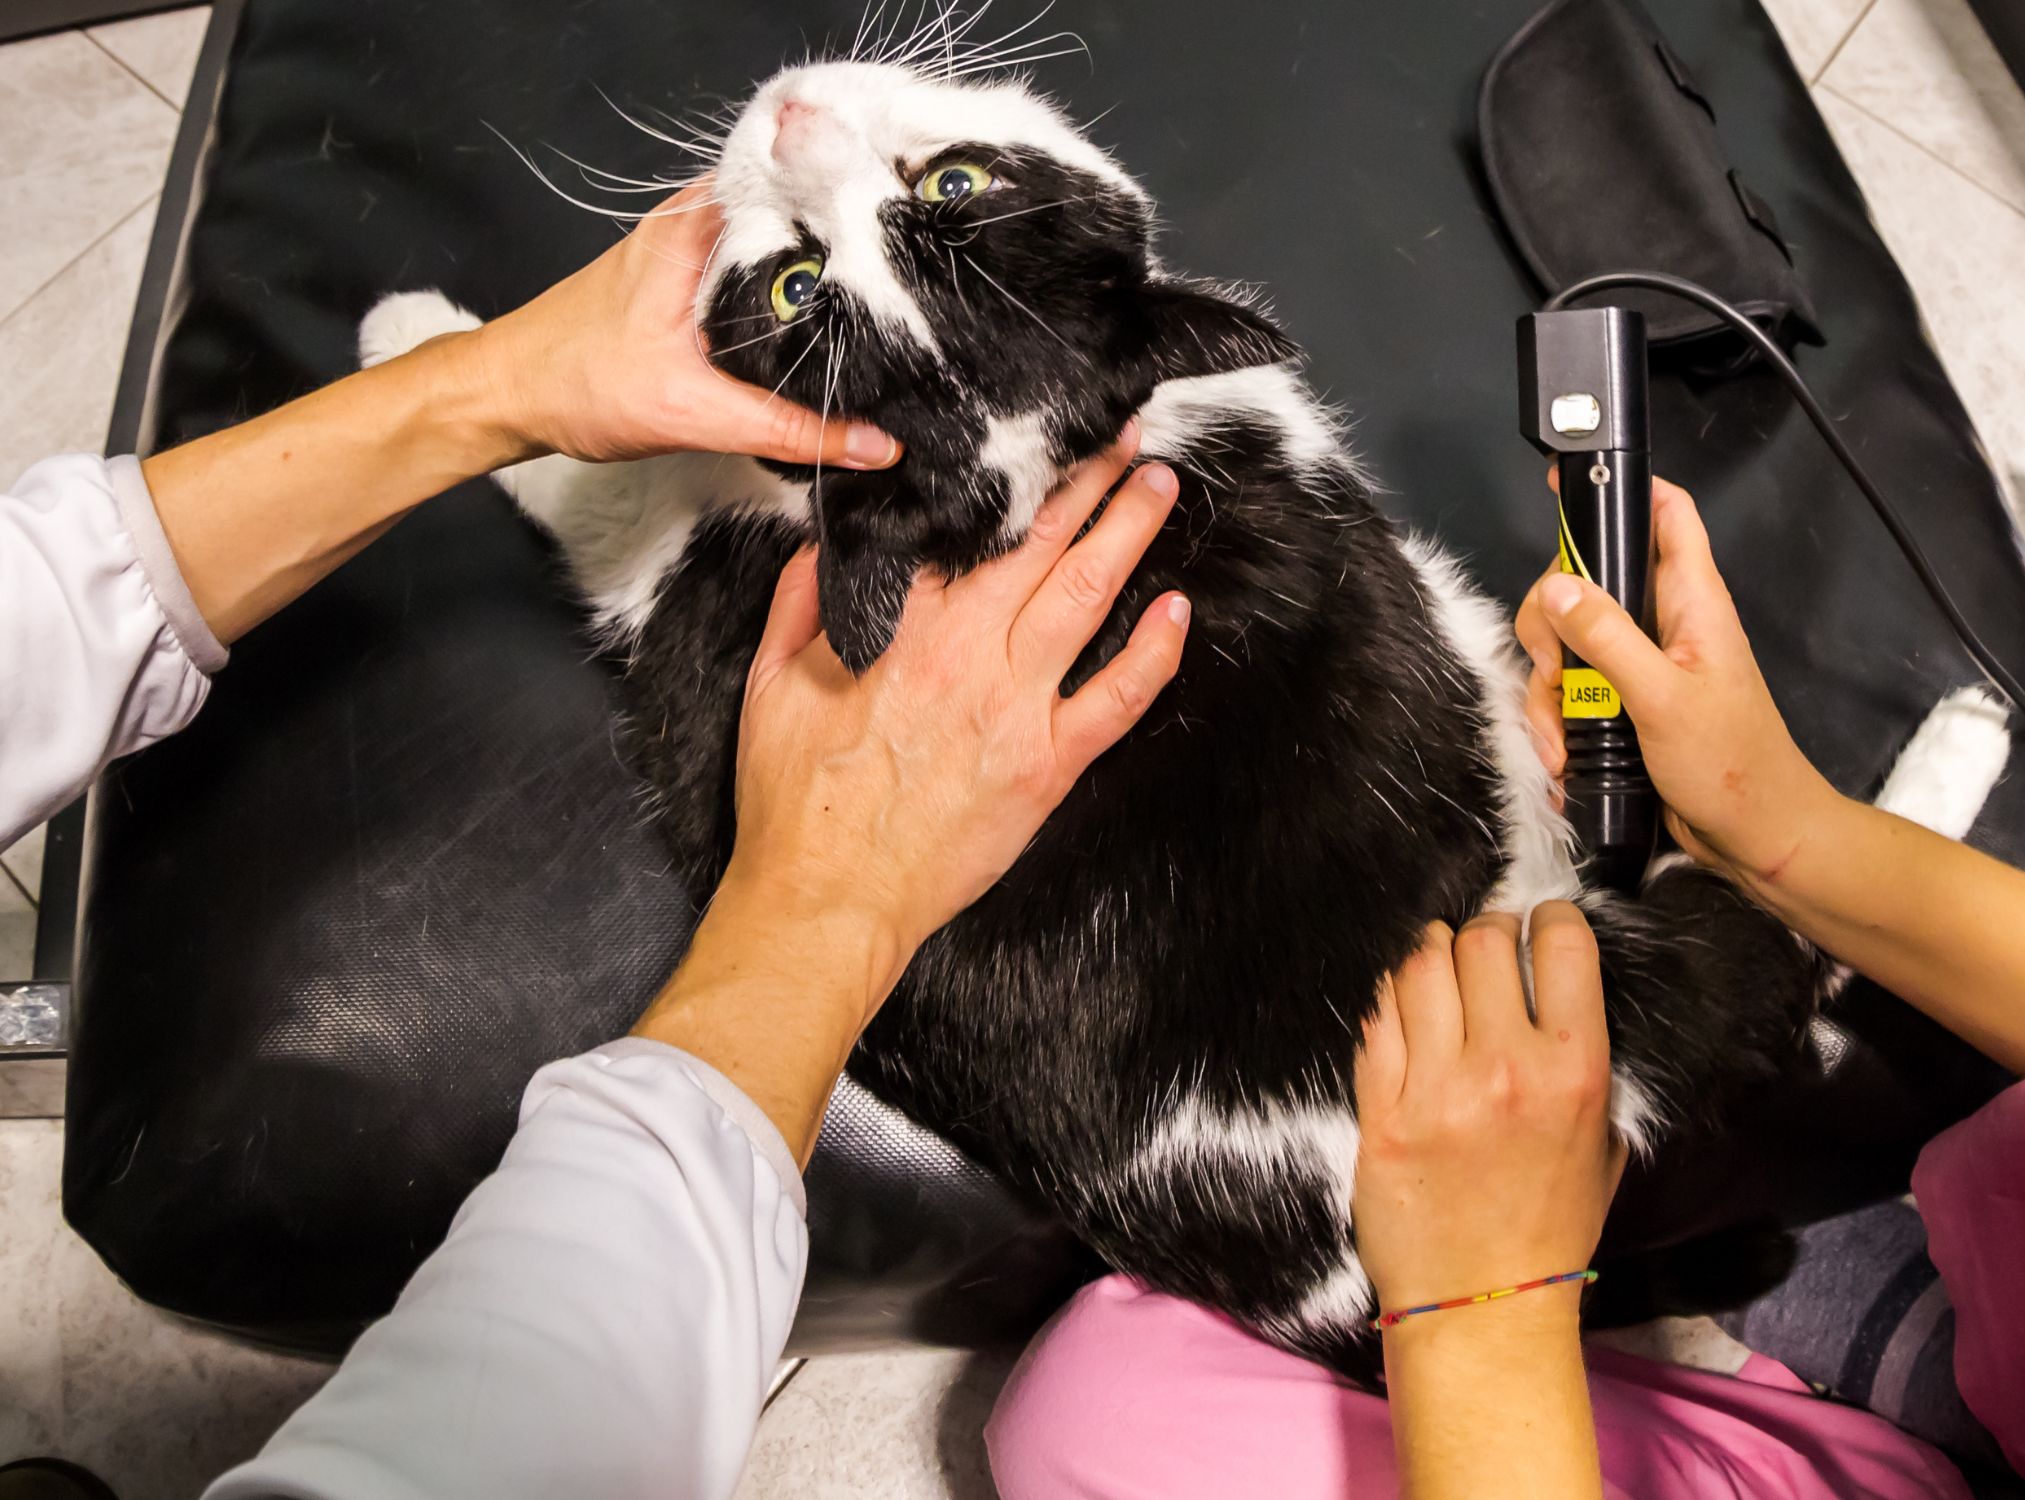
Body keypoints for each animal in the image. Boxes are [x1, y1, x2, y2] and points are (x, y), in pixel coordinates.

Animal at [364, 40, 2008, 1376]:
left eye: (953, 181)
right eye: (799, 287)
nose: (793, 112)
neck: (1020, 495)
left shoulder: (694, 579)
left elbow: (601, 483)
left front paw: (406, 324)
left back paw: (1961, 729)